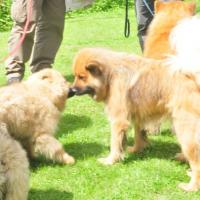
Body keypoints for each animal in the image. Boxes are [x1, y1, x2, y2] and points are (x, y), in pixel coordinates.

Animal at [72, 47, 200, 191]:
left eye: (82, 77)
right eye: (75, 76)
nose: (72, 90)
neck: (110, 75)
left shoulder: (118, 120)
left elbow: (115, 143)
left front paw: (110, 160)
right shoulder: (138, 115)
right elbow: (138, 135)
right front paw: (136, 149)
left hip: (184, 129)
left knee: (196, 162)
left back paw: (191, 186)